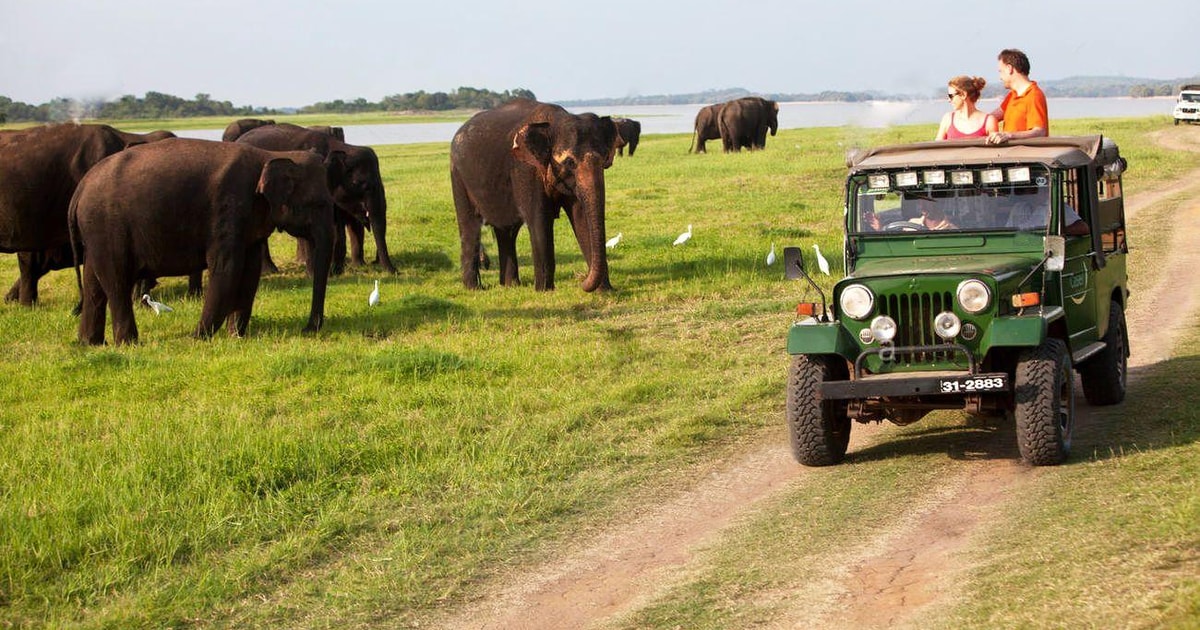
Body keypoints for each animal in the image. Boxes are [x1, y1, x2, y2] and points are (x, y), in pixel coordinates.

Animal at [69, 137, 338, 343]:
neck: (271, 155)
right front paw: (198, 338)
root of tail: (80, 189)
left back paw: (90, 343)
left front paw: (235, 336)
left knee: (94, 283)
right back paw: (128, 342)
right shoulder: (227, 209)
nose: (307, 329)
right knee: (116, 281)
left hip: (96, 233)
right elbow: (226, 268)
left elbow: (250, 271)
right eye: (319, 204)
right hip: (106, 228)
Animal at [236, 121, 396, 273]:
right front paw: (334, 271)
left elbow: (348, 221)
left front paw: (356, 267)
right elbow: (334, 225)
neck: (342, 147)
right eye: (360, 183)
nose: (395, 272)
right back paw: (270, 270)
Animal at [451, 98, 619, 292]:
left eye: (605, 159)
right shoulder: (526, 168)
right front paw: (545, 291)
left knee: (506, 230)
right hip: (458, 176)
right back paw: (474, 288)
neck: (554, 122)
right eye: (570, 162)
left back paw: (511, 286)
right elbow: (539, 220)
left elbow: (582, 218)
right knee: (470, 226)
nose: (581, 281)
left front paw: (605, 291)